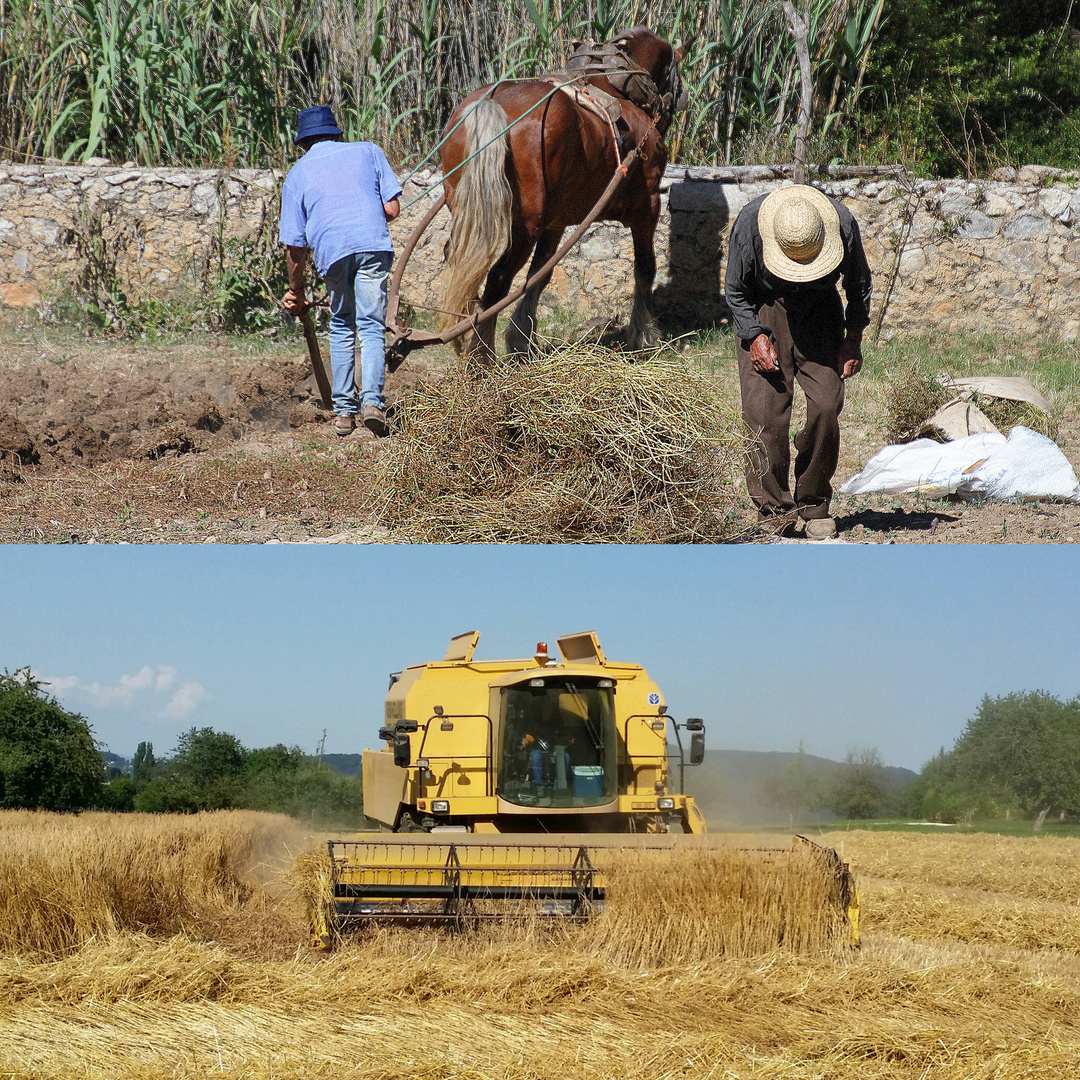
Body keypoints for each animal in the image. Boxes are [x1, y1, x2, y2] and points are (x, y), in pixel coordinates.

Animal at [440, 27, 686, 358]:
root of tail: (492, 103)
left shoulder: (555, 222)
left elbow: (540, 274)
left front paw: (521, 337)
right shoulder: (647, 204)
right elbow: (645, 268)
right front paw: (643, 336)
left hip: (467, 211)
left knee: (461, 261)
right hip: (524, 228)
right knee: (498, 281)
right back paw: (480, 357)